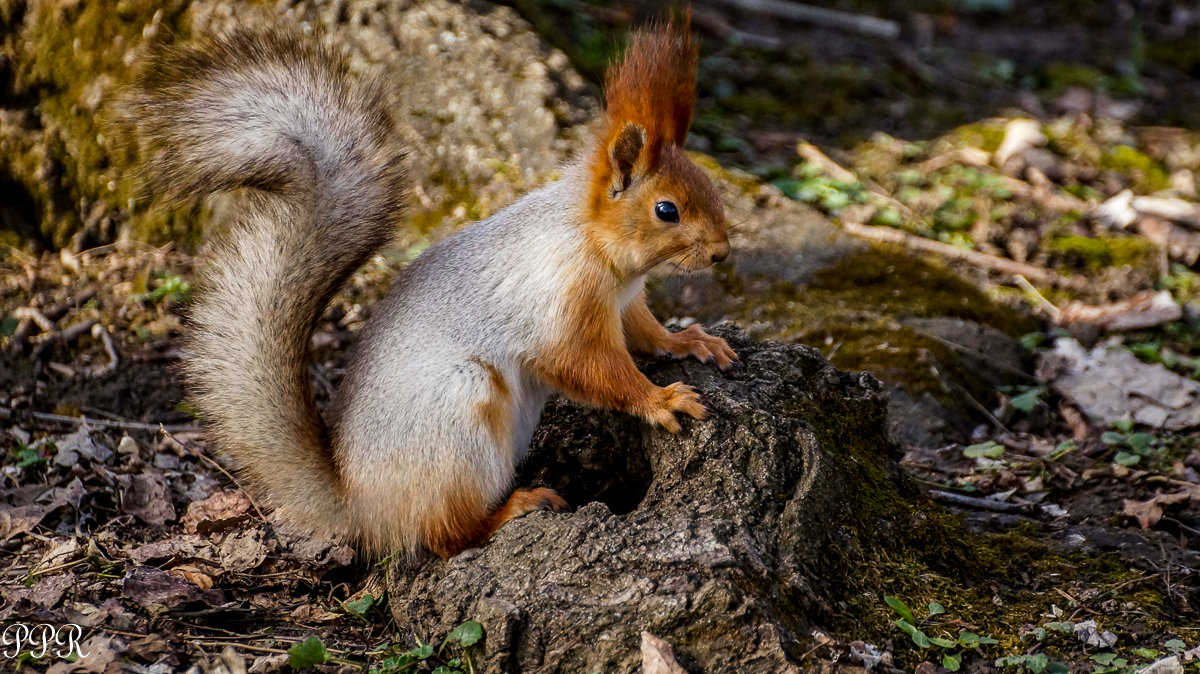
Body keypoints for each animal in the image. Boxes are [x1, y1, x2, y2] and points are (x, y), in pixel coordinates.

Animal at [126, 19, 734, 556]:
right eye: (667, 210)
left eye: (709, 183)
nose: (723, 252)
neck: (596, 248)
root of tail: (360, 505)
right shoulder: (560, 305)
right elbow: (592, 367)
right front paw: (660, 399)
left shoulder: (625, 303)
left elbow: (648, 334)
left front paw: (693, 342)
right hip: (460, 416)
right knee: (444, 536)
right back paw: (511, 510)